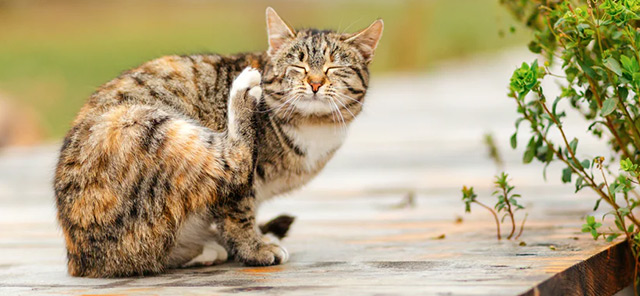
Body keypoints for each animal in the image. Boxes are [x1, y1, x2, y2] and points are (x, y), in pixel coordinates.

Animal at [53, 7, 380, 278]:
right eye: (298, 67)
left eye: (333, 68)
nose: (314, 83)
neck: (314, 125)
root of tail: (80, 260)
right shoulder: (242, 191)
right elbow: (238, 213)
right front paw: (255, 248)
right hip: (144, 125)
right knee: (233, 160)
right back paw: (241, 92)